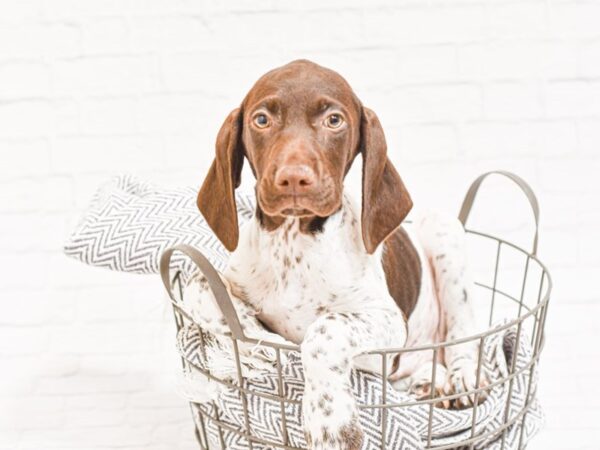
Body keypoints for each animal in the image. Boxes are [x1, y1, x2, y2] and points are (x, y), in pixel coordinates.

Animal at [195, 60, 486, 450]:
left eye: (334, 120)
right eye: (261, 120)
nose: (294, 179)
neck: (293, 244)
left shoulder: (387, 321)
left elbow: (325, 329)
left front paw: (329, 422)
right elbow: (201, 291)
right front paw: (257, 337)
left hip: (444, 233)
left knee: (461, 336)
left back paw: (460, 378)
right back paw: (429, 381)